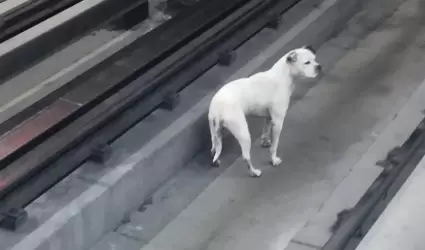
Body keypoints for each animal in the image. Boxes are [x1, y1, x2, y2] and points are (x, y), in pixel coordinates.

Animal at [207, 46, 320, 177]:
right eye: (307, 62)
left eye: (315, 59)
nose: (319, 67)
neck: (283, 76)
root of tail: (217, 107)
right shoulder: (278, 122)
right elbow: (274, 146)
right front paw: (273, 159)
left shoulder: (269, 117)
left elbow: (266, 129)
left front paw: (265, 141)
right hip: (244, 134)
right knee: (245, 157)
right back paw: (254, 172)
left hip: (215, 133)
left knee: (214, 149)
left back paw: (216, 161)